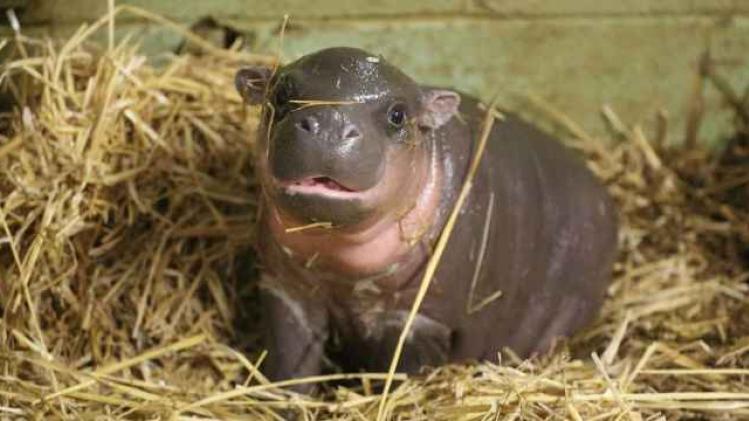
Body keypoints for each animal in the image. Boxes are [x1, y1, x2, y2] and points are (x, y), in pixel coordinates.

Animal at [234, 47, 618, 384]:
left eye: (398, 115)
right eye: (280, 94)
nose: (330, 124)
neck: (339, 266)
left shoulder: (418, 317)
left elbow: (401, 369)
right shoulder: (286, 289)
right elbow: (290, 363)